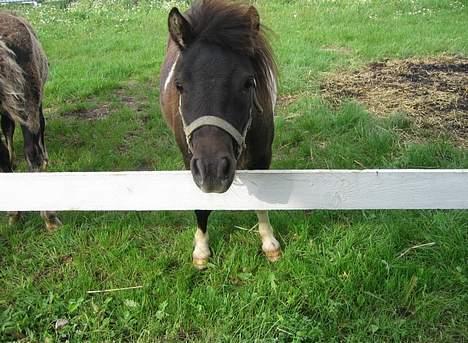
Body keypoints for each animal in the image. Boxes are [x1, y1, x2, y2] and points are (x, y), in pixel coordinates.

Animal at [159, 0, 280, 268]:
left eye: (248, 83)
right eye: (179, 85)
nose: (213, 170)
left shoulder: (263, 157)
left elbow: (262, 198)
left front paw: (269, 243)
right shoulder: (191, 162)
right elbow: (201, 206)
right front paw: (201, 250)